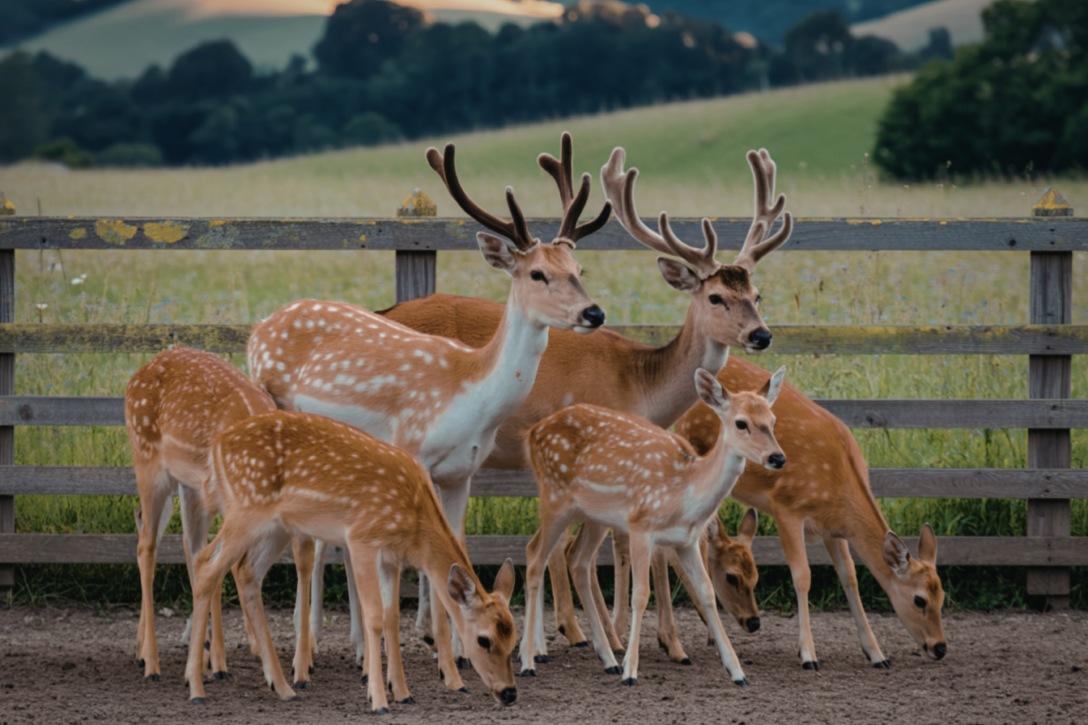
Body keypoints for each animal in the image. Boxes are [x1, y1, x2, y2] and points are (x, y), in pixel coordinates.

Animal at [125, 347, 316, 686]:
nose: (304, 674)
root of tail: (135, 377)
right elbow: (225, 564)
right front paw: (221, 661)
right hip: (148, 461)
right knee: (147, 547)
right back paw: (153, 663)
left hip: (187, 484)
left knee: (185, 544)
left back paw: (164, 654)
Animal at [185, 410, 518, 711]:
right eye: (484, 639)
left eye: (513, 639)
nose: (510, 693)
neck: (414, 522)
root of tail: (217, 445)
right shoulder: (362, 537)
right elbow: (374, 616)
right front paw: (379, 700)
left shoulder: (391, 555)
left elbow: (392, 617)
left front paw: (402, 692)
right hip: (246, 509)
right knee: (206, 564)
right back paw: (197, 686)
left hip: (276, 526)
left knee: (245, 572)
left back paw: (281, 687)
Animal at [247, 133, 610, 671]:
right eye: (538, 274)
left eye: (578, 268)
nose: (594, 312)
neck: (469, 396)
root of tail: (256, 331)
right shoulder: (412, 450)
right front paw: (427, 655)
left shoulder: (463, 472)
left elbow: (456, 546)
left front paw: (458, 651)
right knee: (300, 539)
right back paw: (302, 652)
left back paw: (350, 647)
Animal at [382, 145, 791, 647]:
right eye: (715, 297)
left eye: (757, 293)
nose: (761, 334)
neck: (639, 385)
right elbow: (612, 548)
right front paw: (625, 636)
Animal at [520, 362, 786, 686]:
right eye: (741, 423)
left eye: (772, 420)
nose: (777, 457)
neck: (685, 495)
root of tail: (532, 433)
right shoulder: (640, 527)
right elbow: (640, 595)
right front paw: (631, 671)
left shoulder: (687, 541)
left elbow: (707, 592)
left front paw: (737, 671)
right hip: (554, 497)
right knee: (536, 556)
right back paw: (529, 661)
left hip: (593, 515)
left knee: (576, 559)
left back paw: (607, 659)